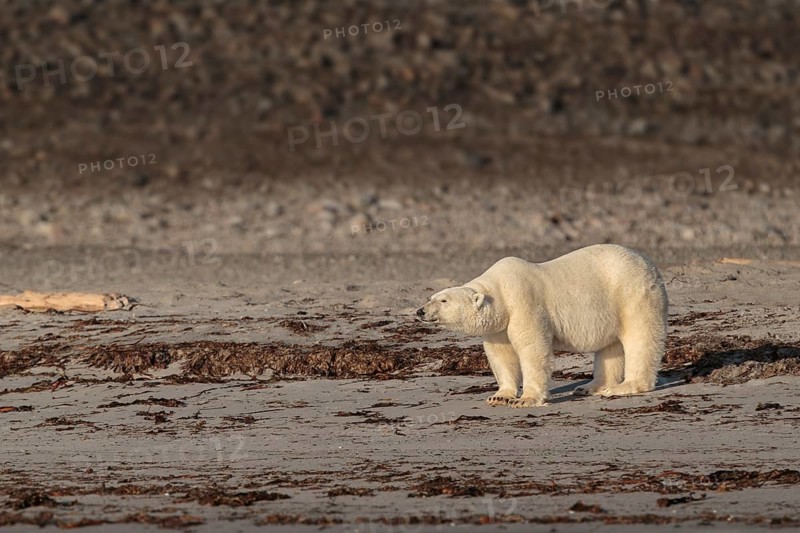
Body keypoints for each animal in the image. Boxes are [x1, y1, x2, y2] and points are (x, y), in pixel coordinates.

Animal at [416, 244, 668, 408]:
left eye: (443, 300)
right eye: (431, 297)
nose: (420, 311)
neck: (501, 289)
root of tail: (650, 264)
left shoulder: (523, 304)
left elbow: (532, 349)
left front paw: (526, 399)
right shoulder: (500, 327)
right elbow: (501, 356)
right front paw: (500, 396)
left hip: (631, 294)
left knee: (640, 338)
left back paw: (624, 386)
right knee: (609, 348)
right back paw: (589, 387)